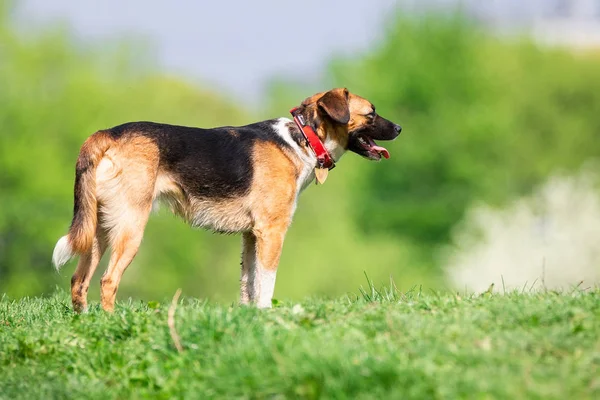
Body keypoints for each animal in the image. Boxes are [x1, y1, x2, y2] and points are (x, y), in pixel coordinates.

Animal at [50, 89, 398, 310]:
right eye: (371, 114)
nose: (399, 127)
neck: (303, 137)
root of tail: (107, 134)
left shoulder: (250, 236)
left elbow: (249, 283)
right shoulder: (272, 232)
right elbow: (266, 284)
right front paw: (266, 316)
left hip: (98, 230)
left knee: (78, 282)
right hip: (129, 228)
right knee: (108, 281)